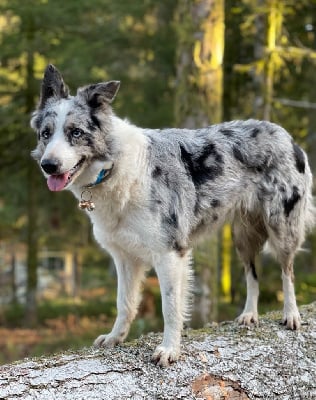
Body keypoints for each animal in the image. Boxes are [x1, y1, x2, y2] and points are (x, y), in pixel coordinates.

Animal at [30, 65, 314, 366]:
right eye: (46, 134)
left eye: (75, 132)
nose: (48, 165)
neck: (114, 167)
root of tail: (284, 134)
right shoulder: (124, 257)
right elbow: (125, 302)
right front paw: (116, 337)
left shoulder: (169, 252)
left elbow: (170, 306)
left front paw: (169, 349)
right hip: (243, 236)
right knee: (252, 273)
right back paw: (249, 314)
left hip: (282, 227)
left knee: (287, 270)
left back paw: (291, 314)